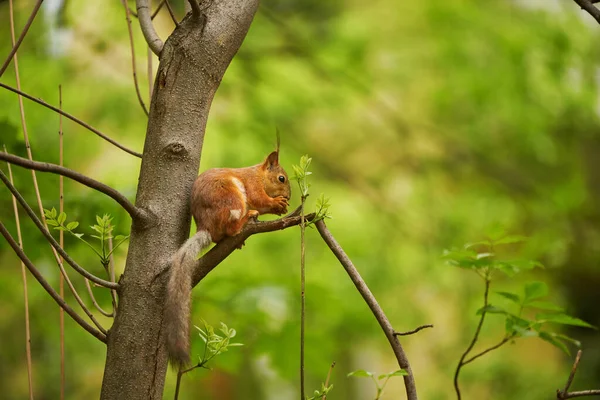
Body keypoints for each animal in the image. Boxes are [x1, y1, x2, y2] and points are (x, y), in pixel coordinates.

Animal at [164, 150, 290, 368]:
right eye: (281, 178)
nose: (289, 196)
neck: (258, 174)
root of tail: (206, 226)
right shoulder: (252, 186)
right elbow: (259, 199)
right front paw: (276, 204)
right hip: (231, 199)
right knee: (231, 226)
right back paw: (245, 219)